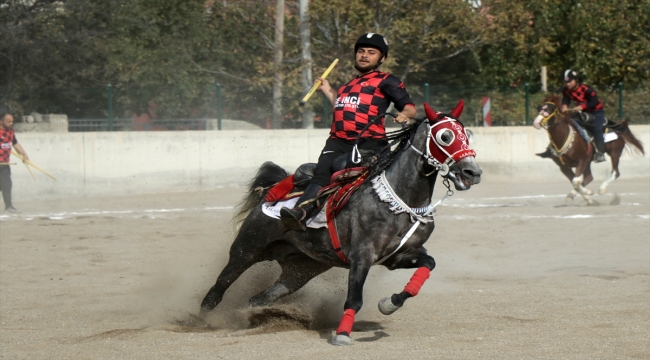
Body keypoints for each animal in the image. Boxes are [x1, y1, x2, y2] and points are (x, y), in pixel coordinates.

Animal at [200, 100, 478, 346]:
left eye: (467, 134)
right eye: (444, 136)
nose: (472, 172)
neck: (397, 202)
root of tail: (270, 194)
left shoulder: (398, 257)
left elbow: (428, 265)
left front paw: (389, 303)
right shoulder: (362, 256)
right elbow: (354, 299)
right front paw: (343, 335)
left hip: (300, 269)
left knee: (259, 298)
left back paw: (259, 319)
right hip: (247, 249)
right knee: (217, 289)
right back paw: (202, 321)